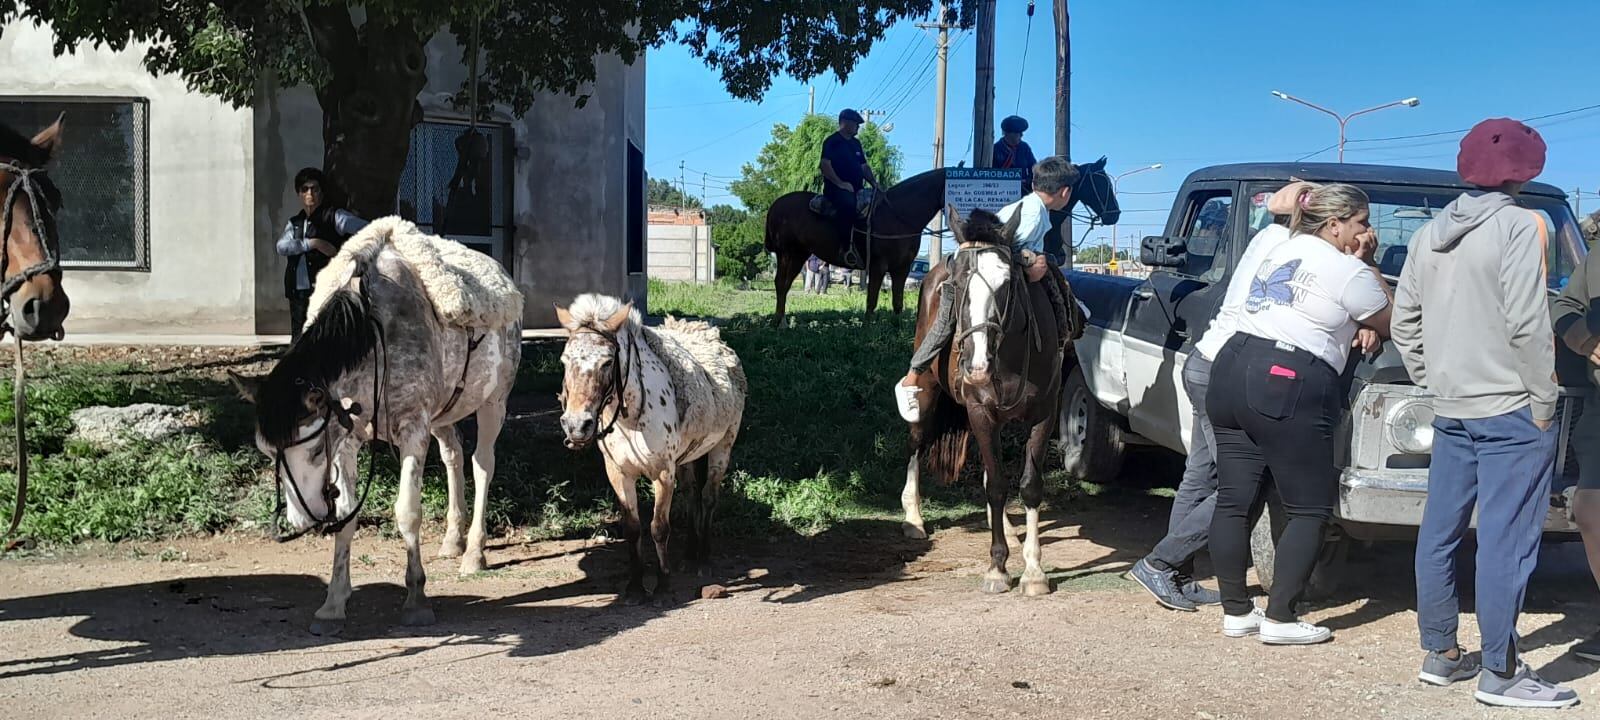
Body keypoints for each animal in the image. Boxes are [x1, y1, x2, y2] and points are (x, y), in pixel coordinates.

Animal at [556, 296, 742, 604]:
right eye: (564, 360)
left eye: (607, 362)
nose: (576, 426)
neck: (631, 418)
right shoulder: (619, 474)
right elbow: (632, 529)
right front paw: (634, 587)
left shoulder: (663, 474)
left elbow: (658, 527)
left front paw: (663, 586)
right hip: (687, 458)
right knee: (691, 493)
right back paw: (689, 555)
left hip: (722, 448)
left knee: (708, 497)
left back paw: (703, 560)